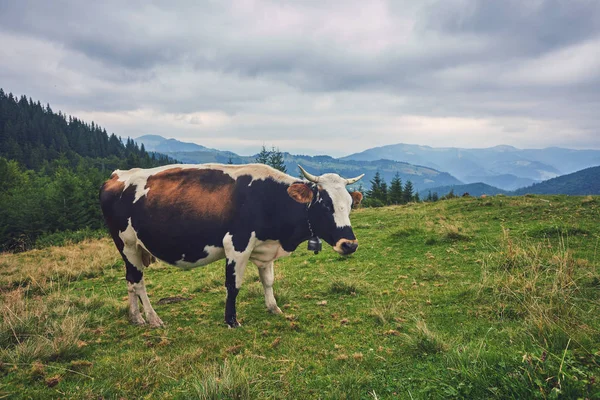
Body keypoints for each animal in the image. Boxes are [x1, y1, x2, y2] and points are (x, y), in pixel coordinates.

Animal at [99, 163, 364, 328]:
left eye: (351, 204)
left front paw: (273, 308)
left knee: (130, 280)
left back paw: (136, 318)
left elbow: (268, 281)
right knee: (138, 282)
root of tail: (117, 175)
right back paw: (153, 319)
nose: (349, 244)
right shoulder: (236, 245)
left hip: (132, 249)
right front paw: (231, 321)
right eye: (326, 204)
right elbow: (233, 285)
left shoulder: (264, 248)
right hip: (128, 244)